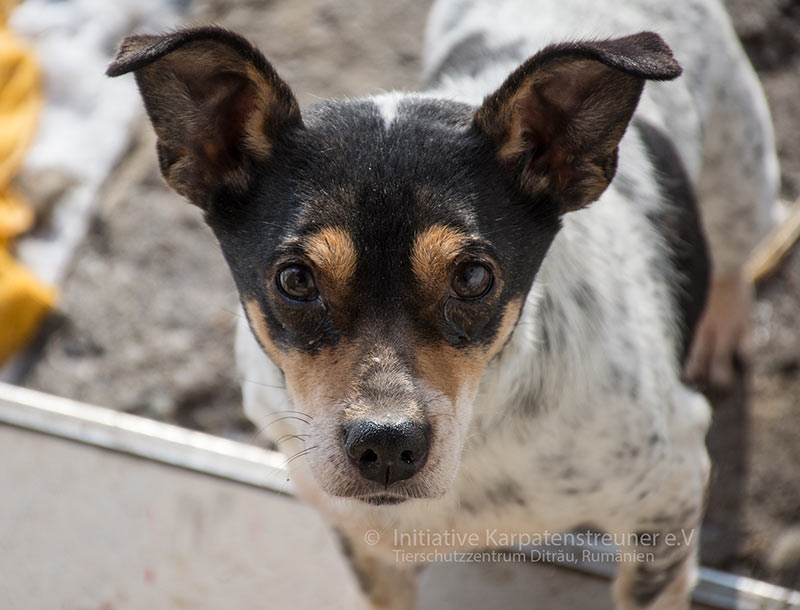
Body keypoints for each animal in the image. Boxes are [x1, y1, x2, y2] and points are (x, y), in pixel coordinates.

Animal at [108, 0, 778, 607]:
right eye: (295, 280)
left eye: (474, 277)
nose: (385, 446)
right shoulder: (364, 540)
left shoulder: (667, 501)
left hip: (742, 173)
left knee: (737, 253)